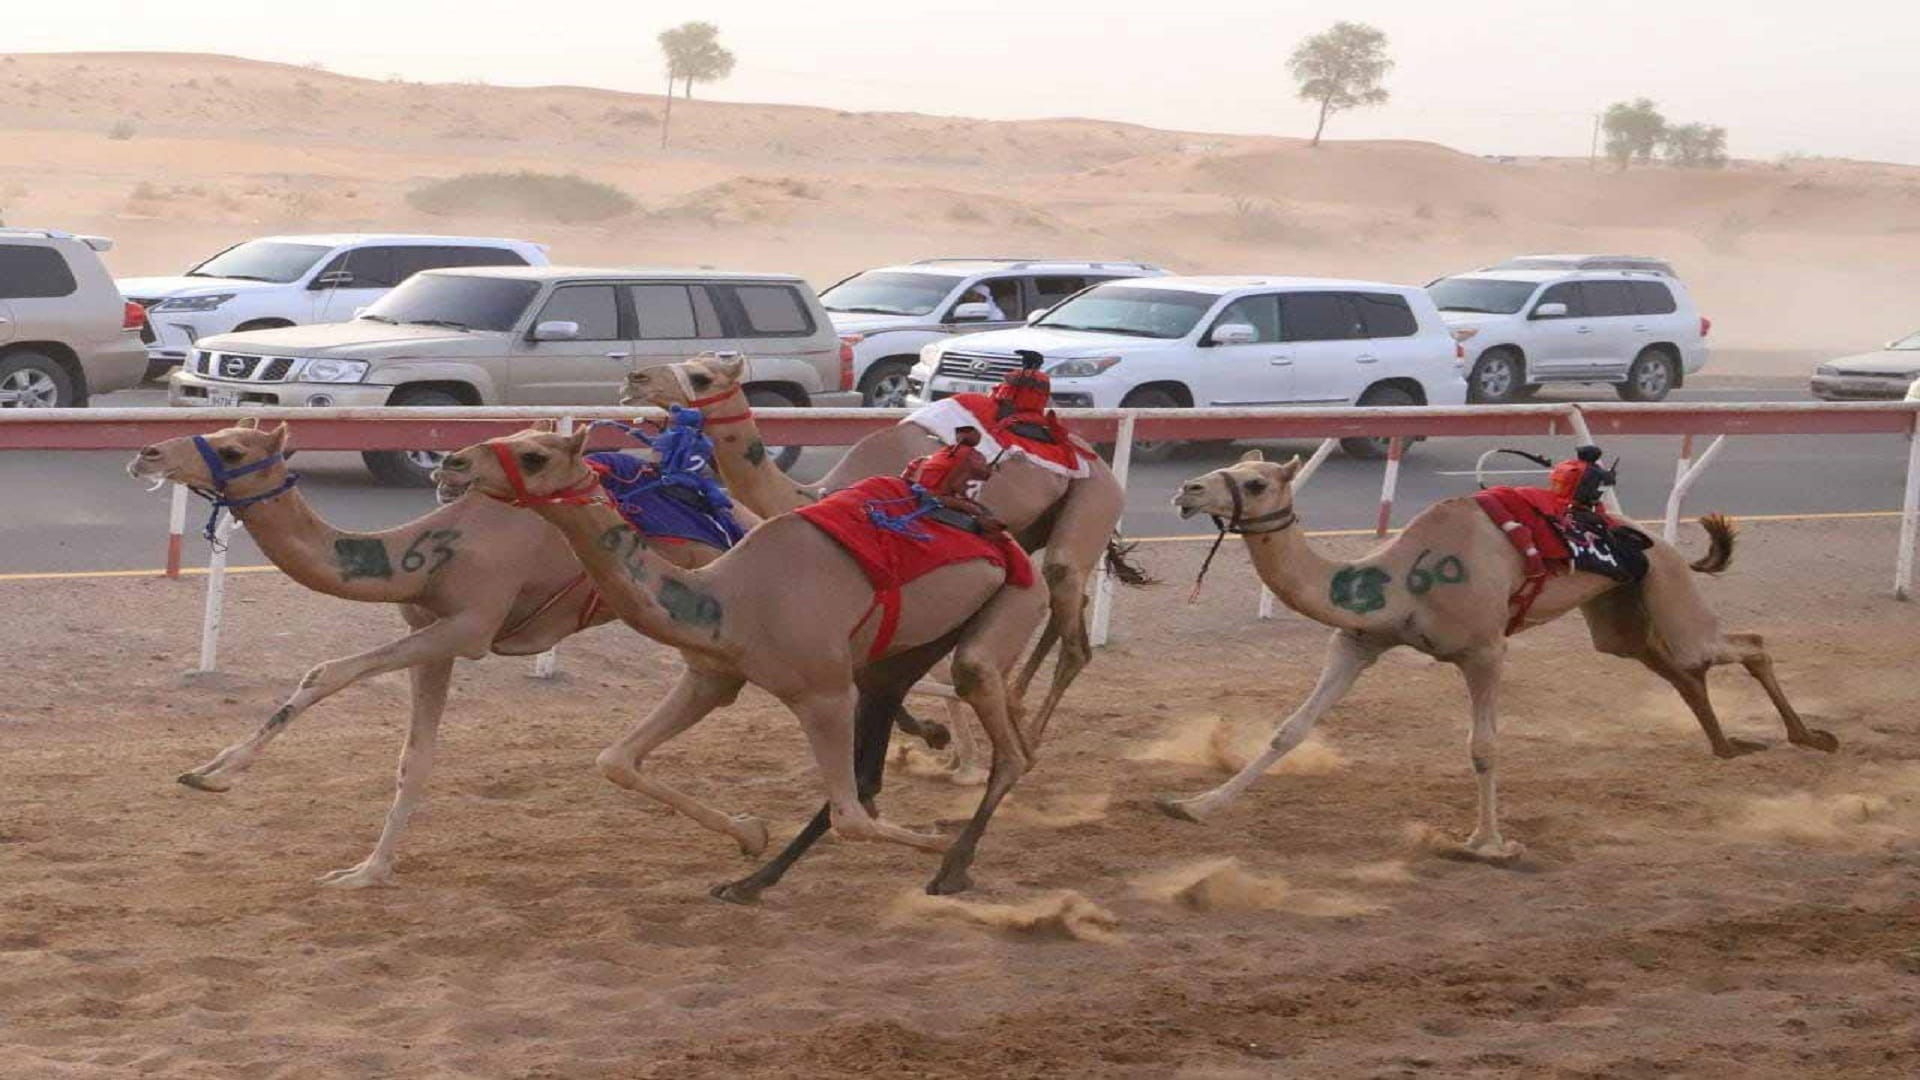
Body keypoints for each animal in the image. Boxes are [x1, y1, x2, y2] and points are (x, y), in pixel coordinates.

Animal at [126, 418, 753, 888]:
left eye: (232, 449)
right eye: (217, 430)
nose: (148, 453)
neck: (427, 557)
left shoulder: (469, 628)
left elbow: (327, 671)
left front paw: (216, 773)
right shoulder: (430, 631)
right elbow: (415, 757)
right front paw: (367, 871)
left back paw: (751, 833)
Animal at [436, 424, 1049, 897]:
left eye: (534, 456)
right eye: (511, 435)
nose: (452, 462)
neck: (731, 600)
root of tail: (995, 530)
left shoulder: (824, 692)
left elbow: (853, 817)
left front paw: (941, 845)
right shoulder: (713, 675)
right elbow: (616, 760)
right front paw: (750, 835)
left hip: (1017, 601)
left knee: (1000, 733)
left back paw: (954, 863)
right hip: (899, 655)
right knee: (885, 756)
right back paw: (753, 884)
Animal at [622, 353, 1142, 761]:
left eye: (701, 377)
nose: (634, 379)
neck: (819, 490)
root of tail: (1088, 451)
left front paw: (937, 738)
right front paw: (933, 737)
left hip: (1094, 498)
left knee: (1070, 620)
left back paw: (1029, 735)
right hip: (1035, 527)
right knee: (1064, 606)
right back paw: (1016, 705)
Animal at [1155, 451, 1837, 861]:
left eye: (1254, 481)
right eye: (1225, 465)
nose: (1186, 490)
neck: (1400, 581)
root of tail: (1657, 543)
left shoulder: (1485, 649)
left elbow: (1482, 747)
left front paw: (1487, 843)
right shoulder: (1358, 640)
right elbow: (1289, 730)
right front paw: (1195, 806)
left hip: (1667, 591)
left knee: (1742, 646)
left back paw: (1811, 737)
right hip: (1618, 622)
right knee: (1678, 667)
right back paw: (1729, 747)